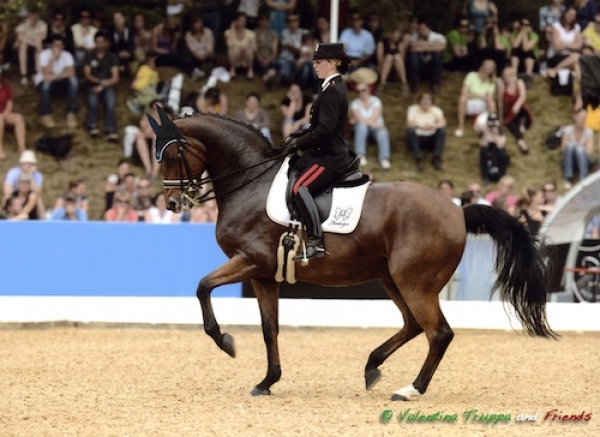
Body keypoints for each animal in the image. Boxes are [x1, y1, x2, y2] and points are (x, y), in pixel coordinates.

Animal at [146, 107, 556, 400]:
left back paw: (411, 389)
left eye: (172, 154)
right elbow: (269, 328)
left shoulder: (250, 261)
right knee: (413, 325)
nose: (172, 203)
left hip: (415, 282)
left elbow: (202, 287)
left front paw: (225, 342)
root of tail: (459, 210)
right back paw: (372, 366)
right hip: (392, 279)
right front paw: (267, 381)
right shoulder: (263, 274)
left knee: (438, 332)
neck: (251, 183)